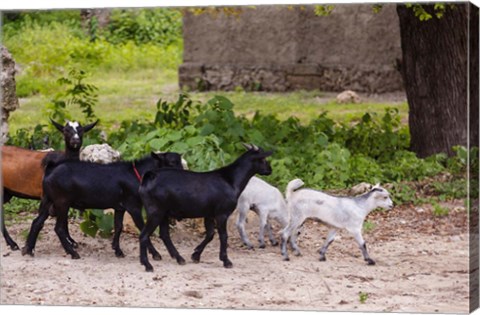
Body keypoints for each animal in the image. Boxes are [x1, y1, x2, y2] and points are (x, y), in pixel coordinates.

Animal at [20, 152, 184, 260]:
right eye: (172, 163)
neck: (136, 175)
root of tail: (51, 168)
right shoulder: (134, 206)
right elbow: (142, 228)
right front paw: (155, 254)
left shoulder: (120, 207)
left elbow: (118, 227)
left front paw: (117, 250)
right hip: (62, 202)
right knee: (59, 228)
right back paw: (73, 253)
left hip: (48, 200)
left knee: (37, 222)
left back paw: (28, 249)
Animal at [139, 144, 274, 272]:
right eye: (263, 159)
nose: (270, 170)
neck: (230, 180)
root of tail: (150, 176)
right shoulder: (222, 213)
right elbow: (223, 235)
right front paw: (226, 260)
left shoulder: (209, 214)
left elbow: (210, 234)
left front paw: (196, 255)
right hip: (155, 211)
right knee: (144, 235)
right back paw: (147, 265)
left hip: (163, 213)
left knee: (164, 234)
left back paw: (179, 258)